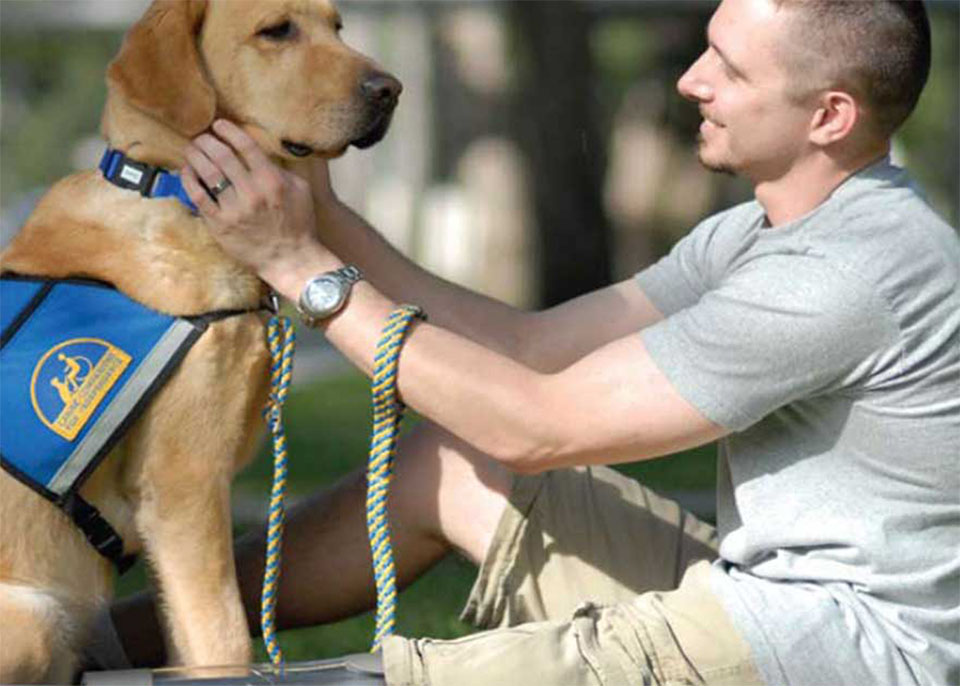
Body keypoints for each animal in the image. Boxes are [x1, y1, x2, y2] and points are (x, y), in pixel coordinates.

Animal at [0, 0, 398, 684]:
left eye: (339, 28)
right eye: (276, 30)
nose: (391, 90)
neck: (170, 190)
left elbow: (193, 645)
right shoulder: (184, 486)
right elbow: (224, 639)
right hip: (34, 619)